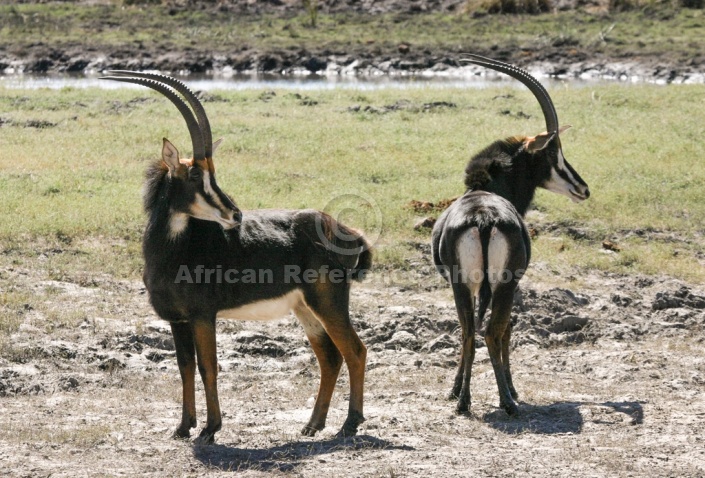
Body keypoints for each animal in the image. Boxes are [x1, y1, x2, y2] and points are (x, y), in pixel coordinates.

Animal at [102, 71, 374, 444]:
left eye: (212, 173)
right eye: (194, 175)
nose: (236, 215)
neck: (173, 250)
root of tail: (345, 230)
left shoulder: (203, 316)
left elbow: (208, 366)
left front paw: (210, 429)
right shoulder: (177, 319)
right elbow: (184, 367)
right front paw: (183, 427)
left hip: (328, 303)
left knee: (355, 351)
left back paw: (350, 423)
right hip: (305, 308)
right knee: (330, 357)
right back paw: (313, 424)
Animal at [428, 55, 588, 414]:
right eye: (553, 153)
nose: (583, 188)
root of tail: (484, 217)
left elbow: (469, 329)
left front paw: (454, 390)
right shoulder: (513, 283)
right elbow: (507, 330)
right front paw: (512, 389)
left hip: (462, 283)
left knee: (469, 331)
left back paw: (464, 402)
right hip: (505, 283)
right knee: (493, 331)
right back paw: (507, 400)